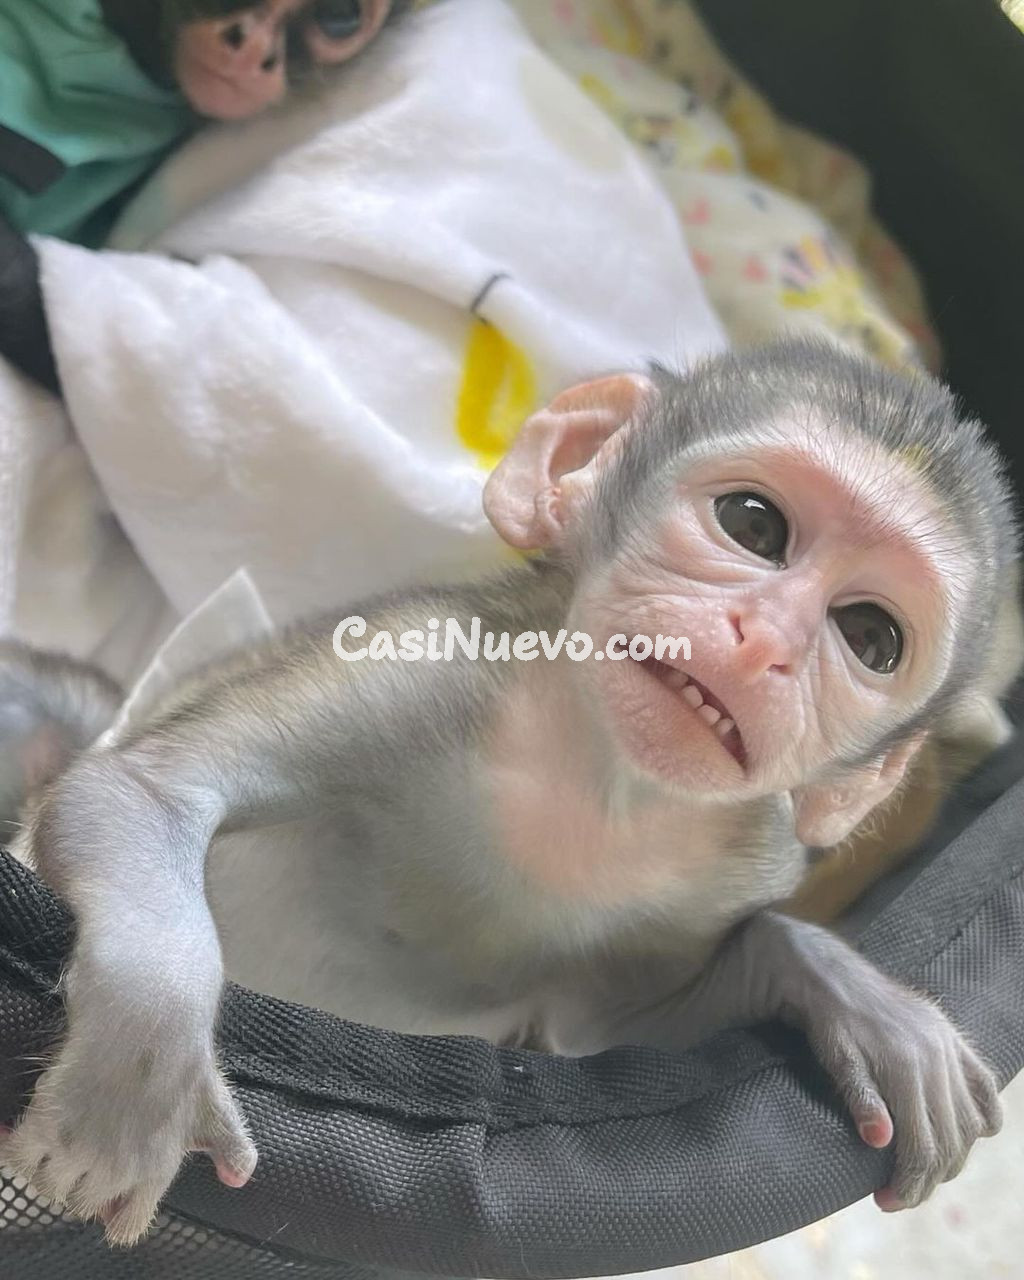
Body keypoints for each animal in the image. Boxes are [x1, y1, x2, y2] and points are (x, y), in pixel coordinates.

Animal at [0, 340, 1015, 1248]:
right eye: (755, 525)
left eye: (870, 636)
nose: (764, 641)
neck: (590, 781)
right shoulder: (425, 660)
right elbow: (148, 791)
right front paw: (142, 1069)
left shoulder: (726, 869)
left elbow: (594, 1048)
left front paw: (835, 984)